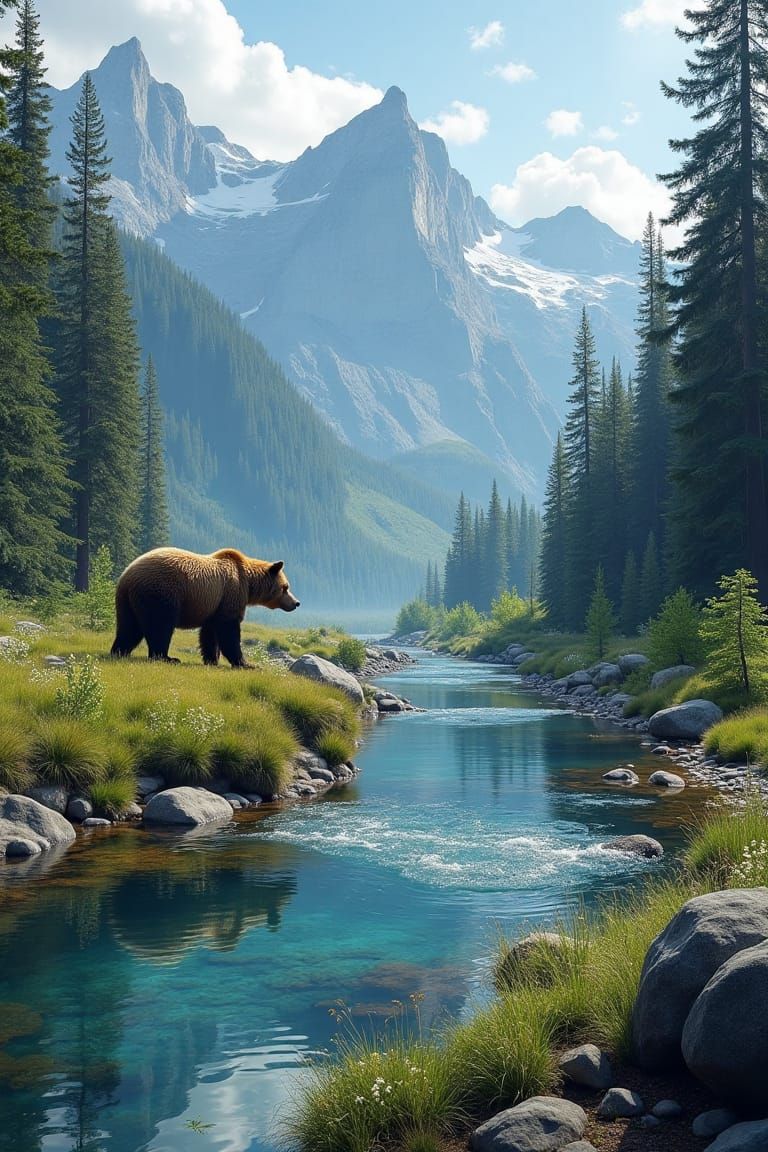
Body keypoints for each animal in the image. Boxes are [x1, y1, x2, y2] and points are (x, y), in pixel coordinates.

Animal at [110, 547, 300, 668]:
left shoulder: (214, 603)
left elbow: (210, 632)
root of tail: (127, 576)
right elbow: (229, 629)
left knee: (129, 627)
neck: (249, 583)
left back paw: (119, 651)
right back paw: (166, 657)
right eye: (286, 587)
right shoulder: (231, 592)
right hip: (161, 592)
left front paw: (212, 659)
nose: (296, 603)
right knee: (159, 625)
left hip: (127, 601)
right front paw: (245, 663)